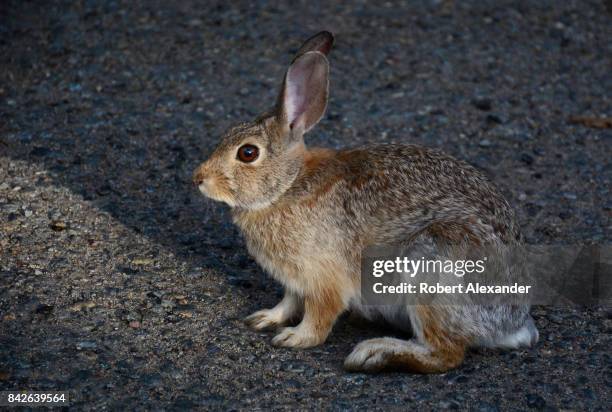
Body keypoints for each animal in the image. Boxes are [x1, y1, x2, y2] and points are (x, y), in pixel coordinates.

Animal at [192, 31, 536, 374]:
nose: (198, 178)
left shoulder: (324, 277)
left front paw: (294, 338)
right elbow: (288, 301)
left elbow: (319, 316)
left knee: (445, 353)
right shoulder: (294, 280)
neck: (289, 185)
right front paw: (265, 318)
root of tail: (512, 323)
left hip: (432, 265)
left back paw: (376, 353)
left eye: (247, 153)